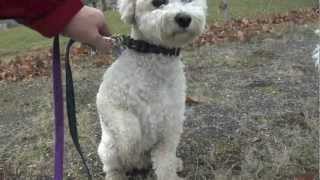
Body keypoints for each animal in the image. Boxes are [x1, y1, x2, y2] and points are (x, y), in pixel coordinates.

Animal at [96, 0, 206, 179]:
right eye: (158, 3)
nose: (184, 18)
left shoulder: (170, 126)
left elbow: (165, 164)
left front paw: (170, 172)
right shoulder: (107, 101)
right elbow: (130, 133)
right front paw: (130, 151)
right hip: (108, 149)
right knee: (112, 166)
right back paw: (119, 172)